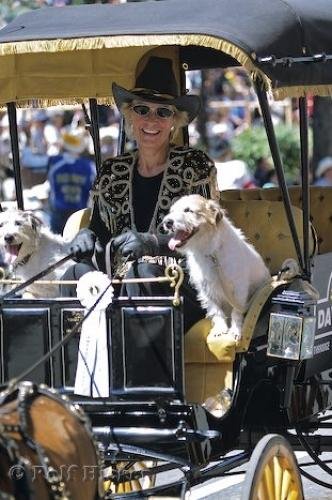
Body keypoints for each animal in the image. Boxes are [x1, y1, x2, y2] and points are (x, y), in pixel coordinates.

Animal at [163, 194, 270, 340]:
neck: (211, 253)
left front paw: (235, 330)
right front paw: (220, 329)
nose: (167, 222)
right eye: (172, 211)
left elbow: (237, 311)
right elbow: (216, 311)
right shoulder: (206, 290)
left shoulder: (238, 289)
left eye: (188, 210)